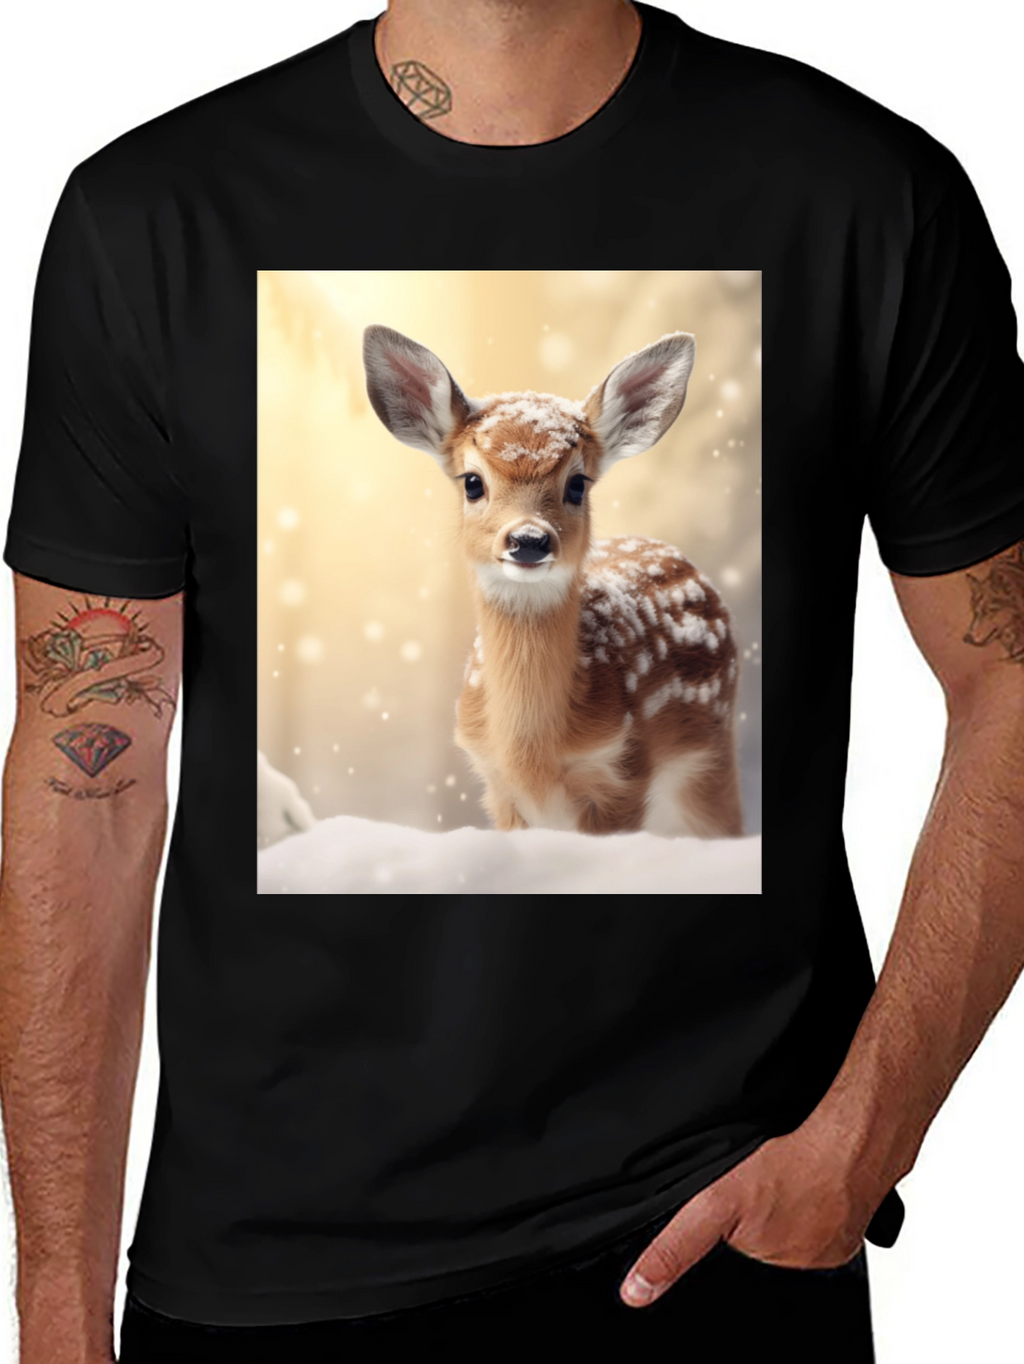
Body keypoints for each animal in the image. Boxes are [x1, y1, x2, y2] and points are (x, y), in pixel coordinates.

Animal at [362, 325, 743, 838]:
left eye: (578, 484)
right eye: (472, 482)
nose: (528, 539)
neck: (532, 754)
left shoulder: (623, 773)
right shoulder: (498, 787)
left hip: (711, 757)